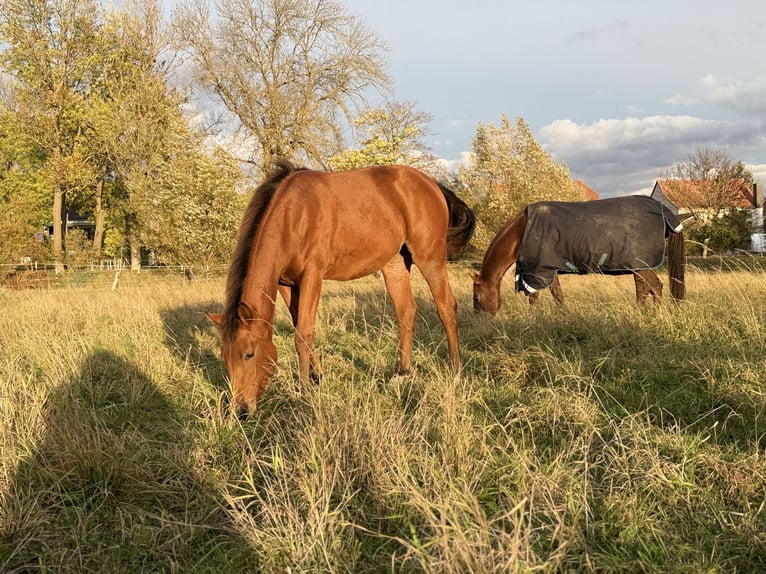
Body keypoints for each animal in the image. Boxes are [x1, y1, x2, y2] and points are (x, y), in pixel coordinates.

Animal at [207, 159, 476, 415]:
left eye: (249, 354)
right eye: (224, 357)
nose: (242, 410)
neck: (294, 216)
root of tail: (431, 184)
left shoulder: (312, 276)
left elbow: (303, 333)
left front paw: (304, 392)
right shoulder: (285, 283)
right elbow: (300, 326)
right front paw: (316, 377)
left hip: (430, 258)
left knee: (446, 308)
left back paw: (455, 372)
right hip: (395, 265)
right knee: (406, 312)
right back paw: (401, 373)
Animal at [472, 195, 685, 314]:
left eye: (476, 298)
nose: (480, 322)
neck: (522, 231)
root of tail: (662, 210)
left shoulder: (537, 272)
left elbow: (535, 299)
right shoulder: (549, 270)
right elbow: (558, 296)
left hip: (641, 265)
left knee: (654, 287)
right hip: (638, 267)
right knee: (645, 289)